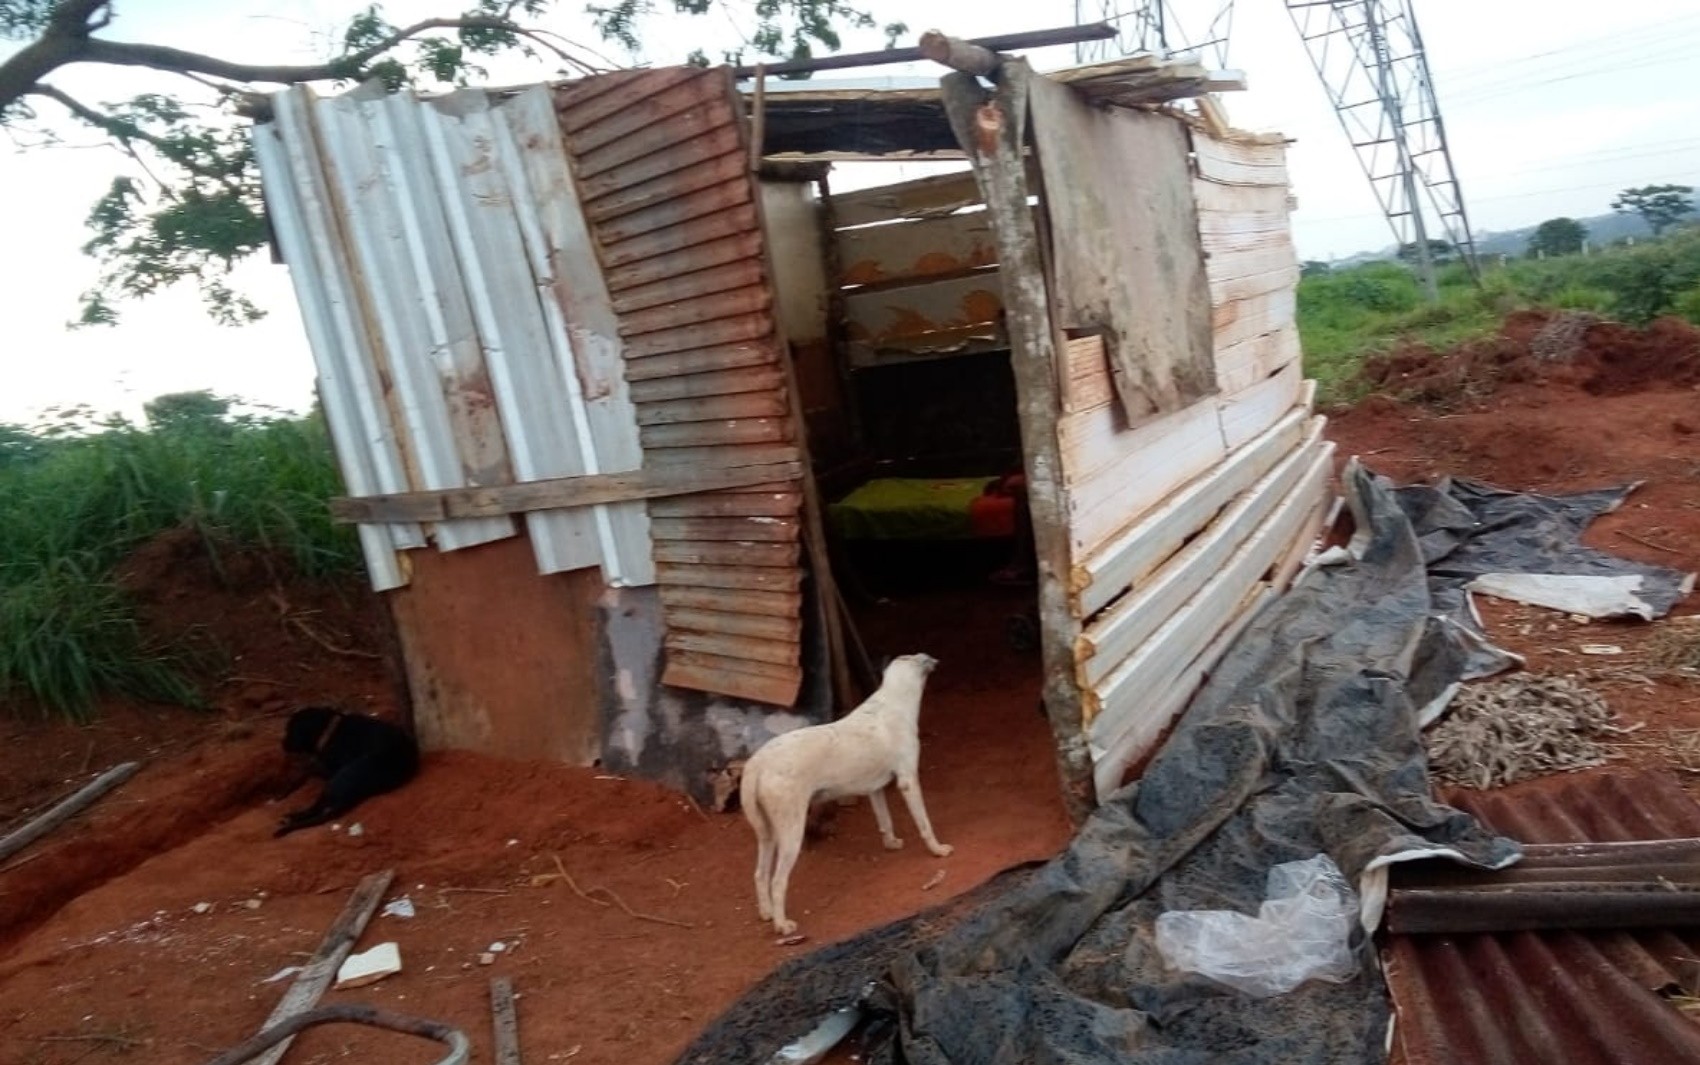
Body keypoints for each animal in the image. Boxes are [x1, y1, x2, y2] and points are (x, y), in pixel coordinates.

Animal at [273, 704, 419, 837]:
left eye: (290, 729)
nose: (282, 744)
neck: (330, 731)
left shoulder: (331, 769)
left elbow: (308, 770)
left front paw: (285, 791)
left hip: (337, 779)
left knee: (317, 808)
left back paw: (291, 817)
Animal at [737, 649, 952, 932]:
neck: (892, 698)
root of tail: (757, 762)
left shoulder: (876, 789)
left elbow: (885, 821)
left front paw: (891, 843)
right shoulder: (908, 780)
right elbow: (925, 824)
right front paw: (938, 850)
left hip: (767, 833)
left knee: (760, 874)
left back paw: (767, 913)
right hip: (791, 831)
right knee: (777, 881)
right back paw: (782, 925)